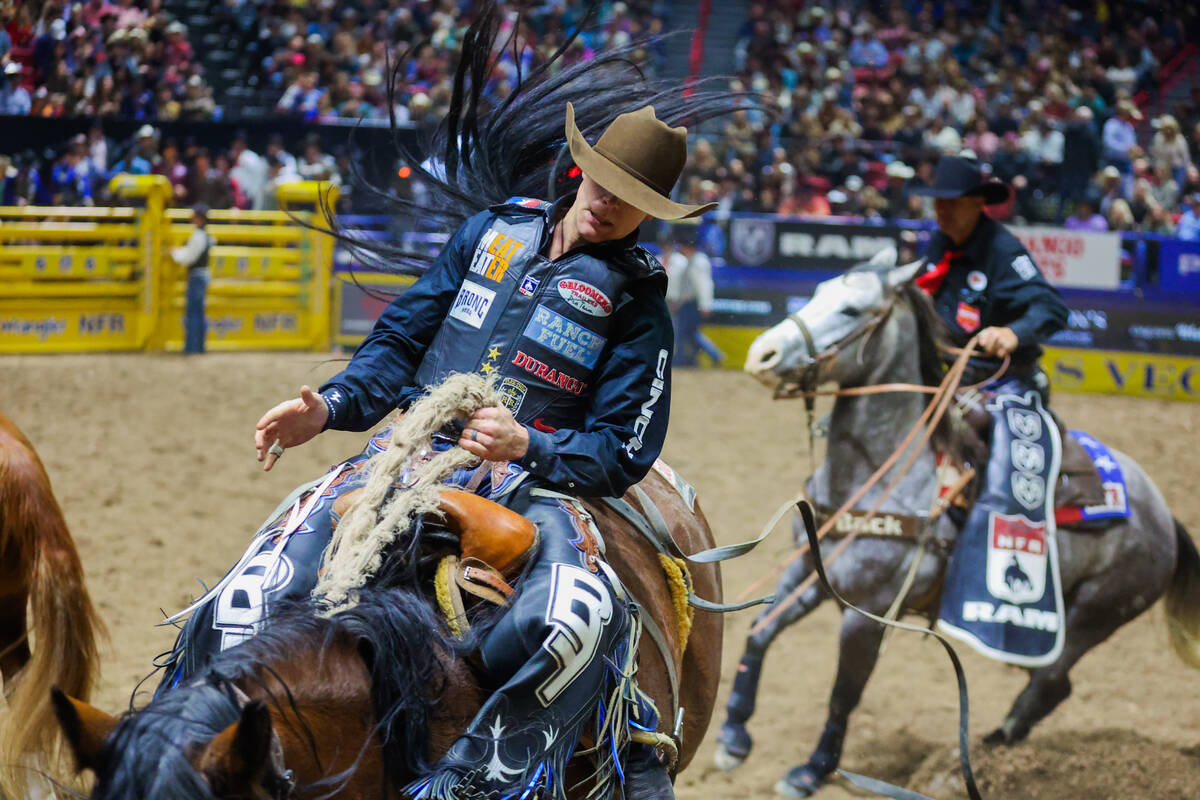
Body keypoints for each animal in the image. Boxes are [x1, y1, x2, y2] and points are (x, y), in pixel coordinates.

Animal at [710, 260, 1200, 796]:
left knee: (1048, 682)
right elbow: (759, 633)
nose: (762, 354)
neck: (882, 473)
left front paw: (812, 770)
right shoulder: (813, 573)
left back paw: (983, 756)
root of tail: (1164, 517)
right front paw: (733, 736)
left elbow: (844, 691)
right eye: (818, 291)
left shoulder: (869, 612)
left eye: (852, 309)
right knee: (1051, 685)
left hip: (1094, 616)